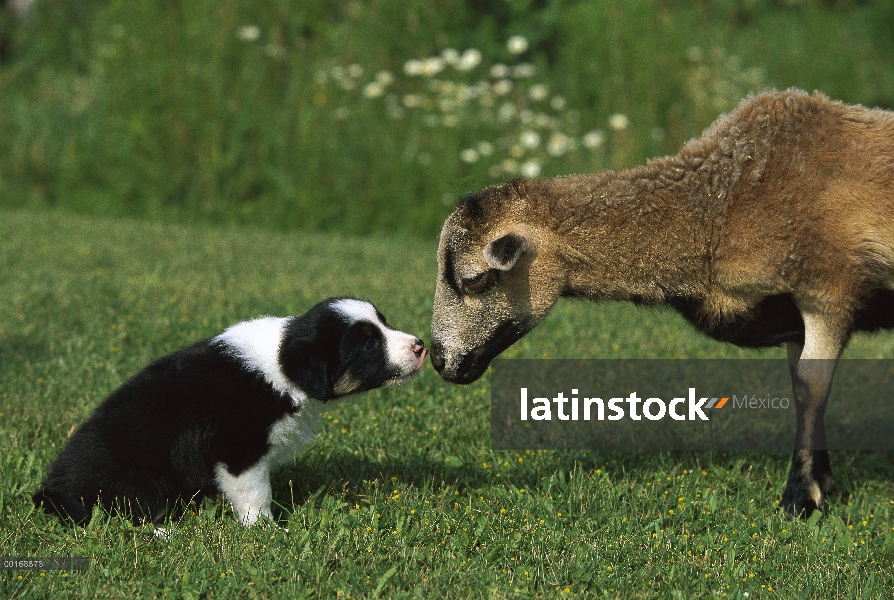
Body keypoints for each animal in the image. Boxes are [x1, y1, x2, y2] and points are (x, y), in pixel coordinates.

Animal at [35, 298, 428, 528]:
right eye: (367, 344)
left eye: (384, 323)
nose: (421, 346)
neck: (282, 364)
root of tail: (52, 489)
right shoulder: (239, 449)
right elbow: (256, 495)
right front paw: (267, 531)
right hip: (138, 480)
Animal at [432, 89, 894, 516]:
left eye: (474, 280)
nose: (437, 360)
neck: (718, 207)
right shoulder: (792, 312)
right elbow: (805, 393)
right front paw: (822, 478)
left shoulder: (828, 290)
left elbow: (809, 387)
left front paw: (800, 498)